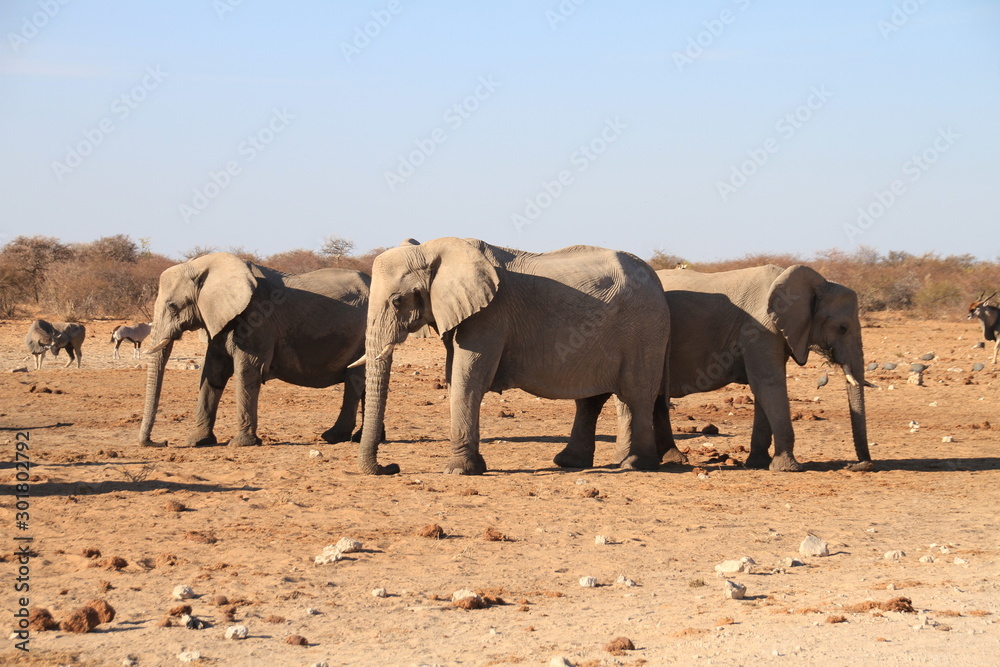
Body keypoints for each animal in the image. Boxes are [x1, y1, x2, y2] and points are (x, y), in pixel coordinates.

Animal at [138, 252, 370, 448]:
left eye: (172, 306)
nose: (160, 443)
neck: (206, 265)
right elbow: (211, 372)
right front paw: (197, 442)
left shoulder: (257, 318)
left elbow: (247, 370)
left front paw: (240, 444)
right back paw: (361, 438)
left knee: (354, 380)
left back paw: (333, 437)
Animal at [353, 237, 670, 475]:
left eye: (397, 300)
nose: (391, 467)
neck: (433, 248)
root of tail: (657, 280)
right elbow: (456, 377)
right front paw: (474, 467)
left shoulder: (490, 315)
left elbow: (469, 378)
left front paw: (458, 471)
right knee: (597, 399)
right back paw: (576, 462)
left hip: (645, 328)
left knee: (637, 394)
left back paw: (636, 465)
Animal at [560, 264, 873, 472]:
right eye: (842, 327)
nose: (862, 465)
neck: (816, 282)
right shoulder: (761, 329)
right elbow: (768, 383)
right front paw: (788, 468)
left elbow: (763, 390)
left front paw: (757, 463)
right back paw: (631, 461)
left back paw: (670, 460)